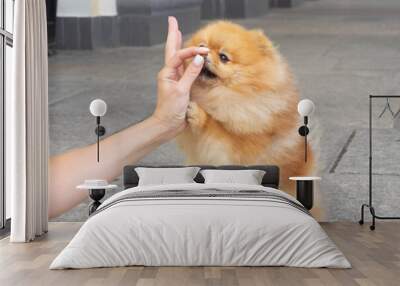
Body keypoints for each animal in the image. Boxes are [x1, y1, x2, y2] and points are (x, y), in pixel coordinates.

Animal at [177, 21, 318, 207]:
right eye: (201, 45)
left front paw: (200, 115)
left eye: (223, 57)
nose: (202, 51)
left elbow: (217, 132)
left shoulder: (239, 150)